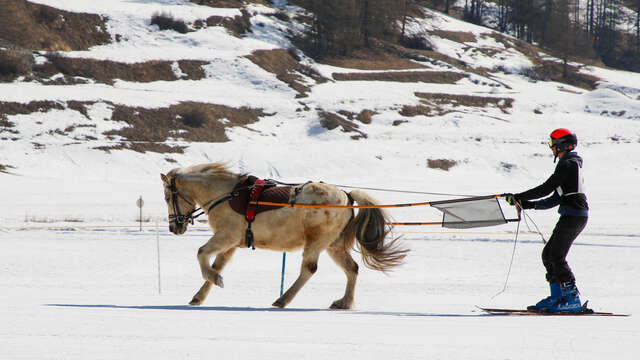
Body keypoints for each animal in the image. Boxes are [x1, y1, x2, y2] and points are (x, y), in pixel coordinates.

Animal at [162, 164, 408, 310]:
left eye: (167, 197)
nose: (174, 227)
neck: (226, 195)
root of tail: (347, 196)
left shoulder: (226, 236)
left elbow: (202, 254)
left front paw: (215, 280)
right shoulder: (231, 244)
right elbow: (216, 265)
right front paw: (200, 295)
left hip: (316, 242)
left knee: (309, 269)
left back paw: (283, 299)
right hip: (334, 246)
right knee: (352, 269)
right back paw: (344, 302)